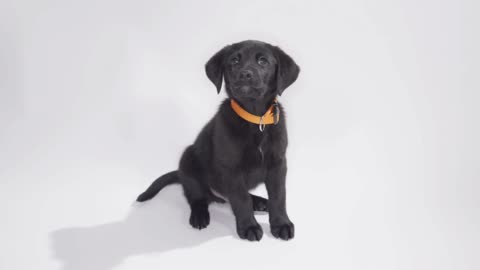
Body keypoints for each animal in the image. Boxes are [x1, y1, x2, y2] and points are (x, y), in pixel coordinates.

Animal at [136, 39, 300, 240]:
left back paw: (260, 202)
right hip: (188, 159)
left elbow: (278, 196)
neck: (256, 120)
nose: (245, 74)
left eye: (263, 61)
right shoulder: (231, 168)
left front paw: (281, 223)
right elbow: (241, 198)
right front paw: (248, 227)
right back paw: (199, 215)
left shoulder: (278, 163)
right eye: (234, 61)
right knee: (197, 196)